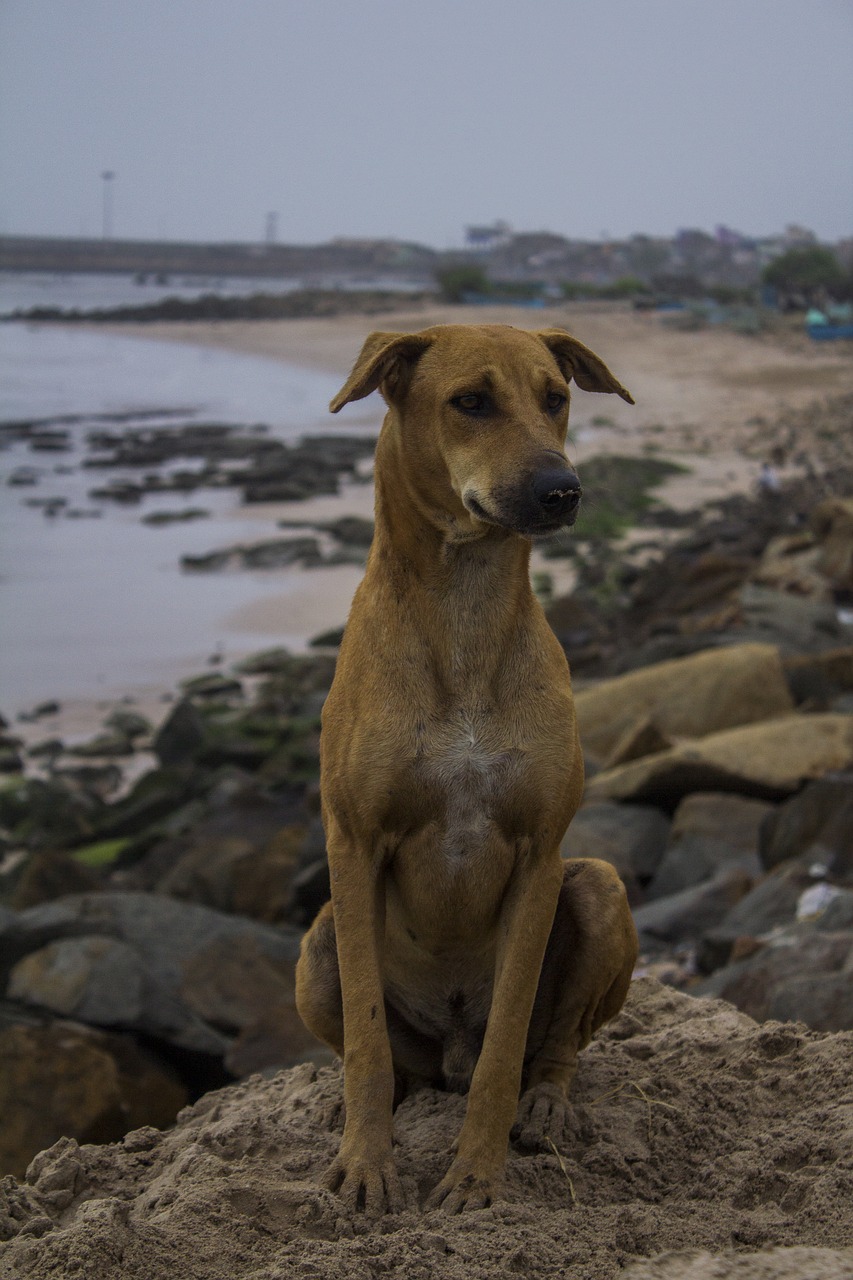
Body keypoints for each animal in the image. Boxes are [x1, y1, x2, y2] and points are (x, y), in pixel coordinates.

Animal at [295, 325, 635, 1213]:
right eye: (469, 401)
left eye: (555, 397)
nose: (562, 490)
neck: (464, 610)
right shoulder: (352, 843)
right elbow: (365, 1045)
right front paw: (367, 1166)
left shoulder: (541, 856)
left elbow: (507, 1042)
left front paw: (477, 1172)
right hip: (316, 944)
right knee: (393, 1064)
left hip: (598, 887)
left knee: (552, 1047)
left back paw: (546, 1105)